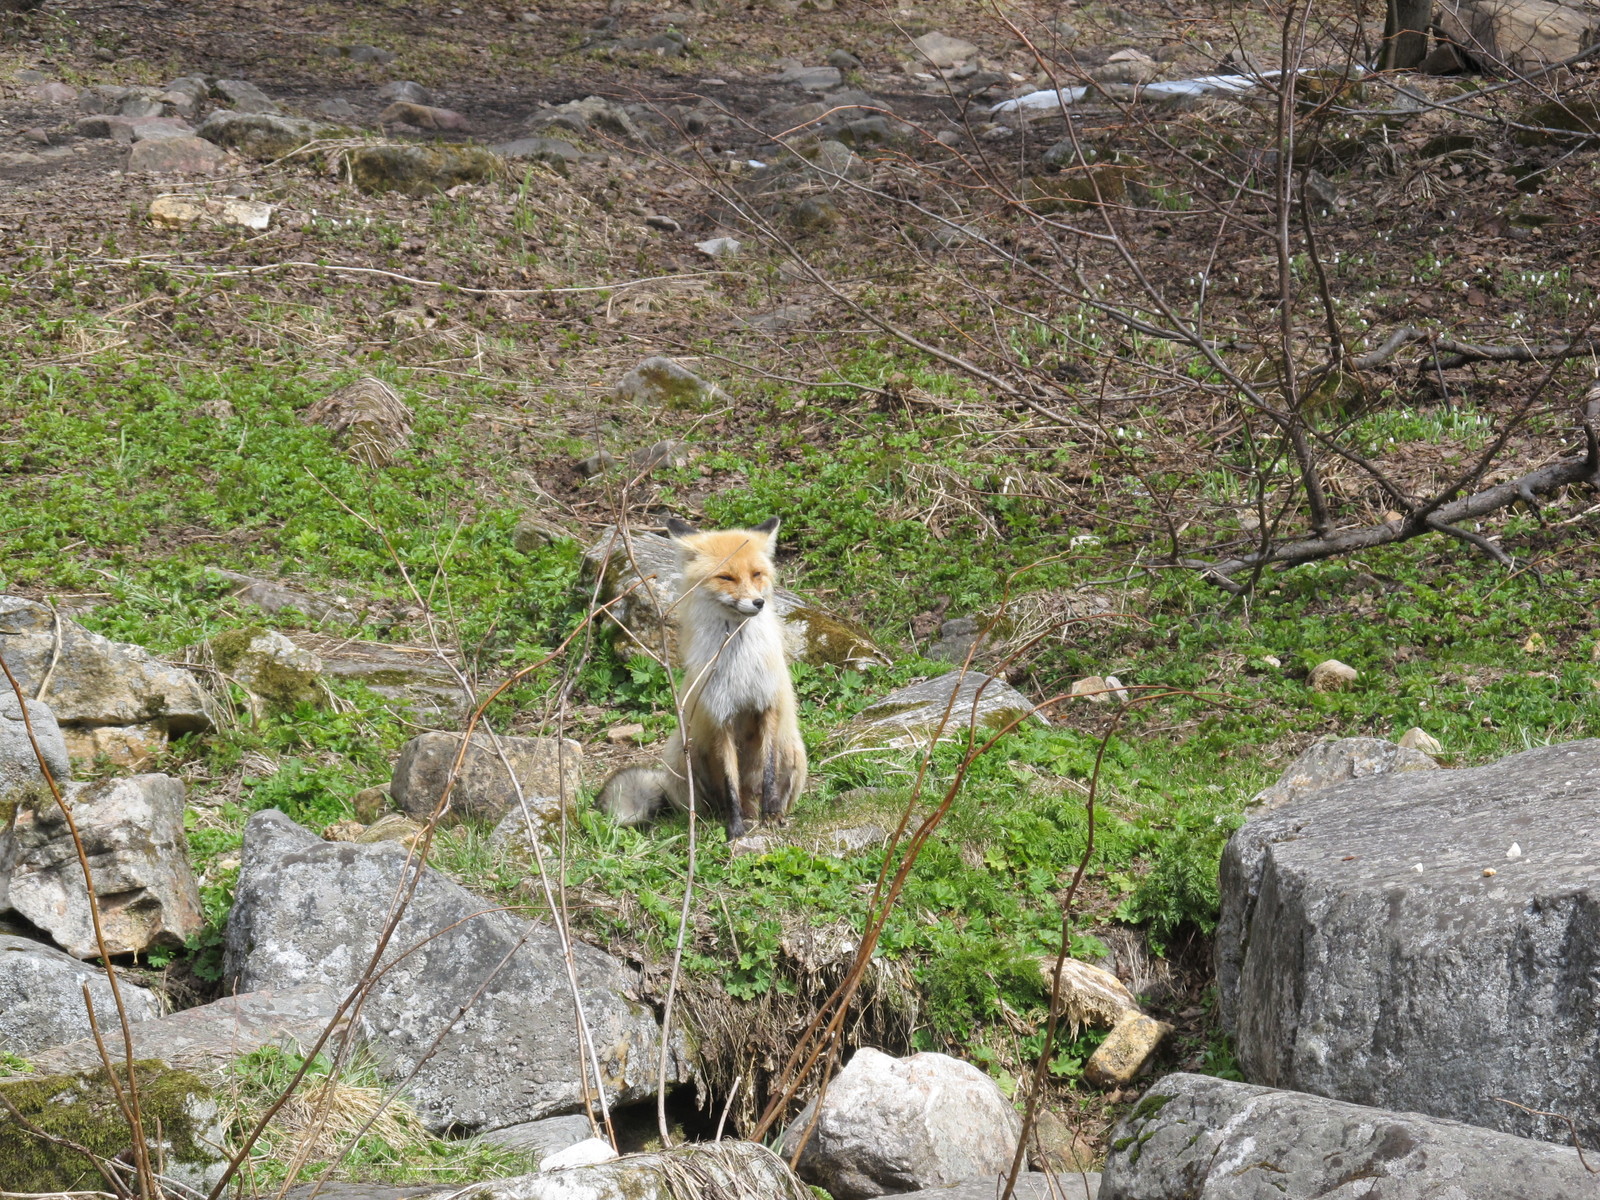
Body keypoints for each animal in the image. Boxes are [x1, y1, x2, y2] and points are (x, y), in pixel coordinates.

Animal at [595, 515, 806, 838]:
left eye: (757, 574)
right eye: (727, 578)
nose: (758, 602)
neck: (739, 663)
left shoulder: (767, 706)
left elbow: (768, 772)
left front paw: (770, 815)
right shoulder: (721, 716)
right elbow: (731, 785)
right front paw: (734, 829)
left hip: (794, 748)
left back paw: (769, 814)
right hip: (684, 753)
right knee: (712, 804)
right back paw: (723, 818)